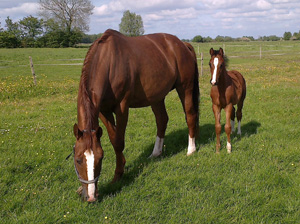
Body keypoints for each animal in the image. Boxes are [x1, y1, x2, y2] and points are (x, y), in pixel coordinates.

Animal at [72, 28, 199, 202]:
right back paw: (156, 153)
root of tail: (183, 44)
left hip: (185, 88)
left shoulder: (122, 107)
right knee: (162, 120)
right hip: (156, 96)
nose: (91, 196)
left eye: (100, 158)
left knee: (190, 116)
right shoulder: (103, 111)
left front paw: (118, 175)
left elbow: (119, 141)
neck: (108, 62)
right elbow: (113, 138)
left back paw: (191, 149)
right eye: (78, 159)